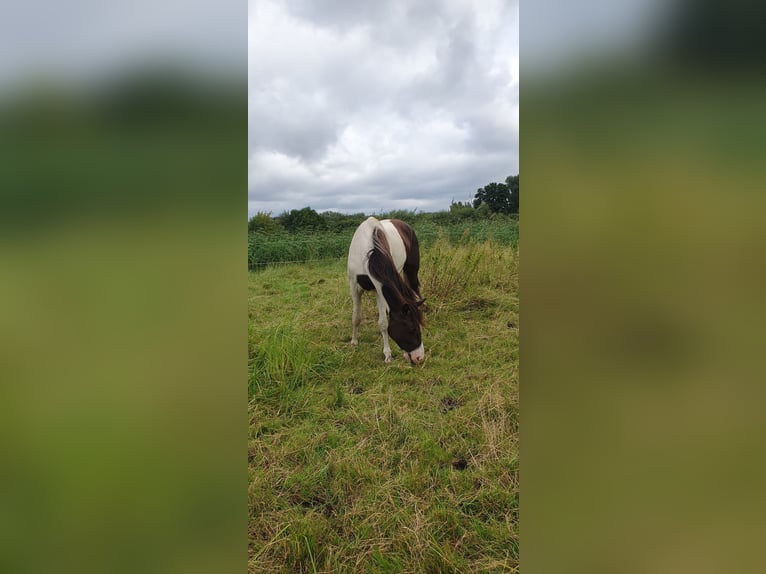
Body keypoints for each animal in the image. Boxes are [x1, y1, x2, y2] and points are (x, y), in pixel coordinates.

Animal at [347, 217, 425, 364]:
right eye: (412, 329)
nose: (419, 357)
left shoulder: (379, 289)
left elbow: (383, 323)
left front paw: (387, 355)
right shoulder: (354, 286)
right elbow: (356, 317)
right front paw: (354, 342)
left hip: (411, 269)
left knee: (415, 289)